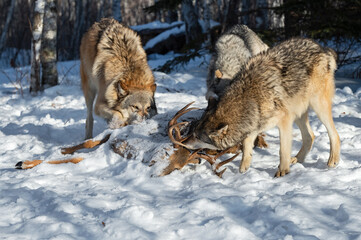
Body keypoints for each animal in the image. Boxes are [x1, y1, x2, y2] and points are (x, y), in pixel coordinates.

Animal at [181, 37, 338, 176]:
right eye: (192, 132)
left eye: (197, 136)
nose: (183, 144)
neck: (251, 98)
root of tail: (322, 48)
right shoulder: (254, 124)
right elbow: (246, 146)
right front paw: (243, 168)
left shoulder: (285, 121)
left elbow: (283, 150)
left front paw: (283, 171)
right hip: (298, 112)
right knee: (310, 136)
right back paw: (297, 159)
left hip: (318, 107)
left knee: (334, 134)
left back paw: (333, 161)